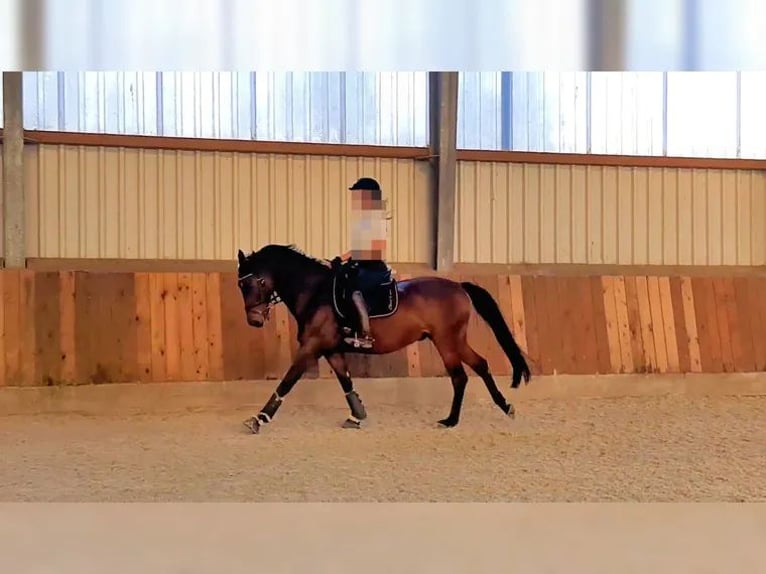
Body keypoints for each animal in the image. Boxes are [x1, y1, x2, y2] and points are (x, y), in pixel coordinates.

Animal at [236, 244, 531, 433]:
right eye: (240, 284)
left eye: (253, 282)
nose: (254, 321)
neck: (315, 292)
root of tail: (458, 286)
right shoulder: (331, 349)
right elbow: (346, 382)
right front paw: (358, 416)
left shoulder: (311, 347)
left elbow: (287, 381)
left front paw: (258, 419)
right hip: (455, 340)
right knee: (480, 364)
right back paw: (506, 407)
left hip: (446, 341)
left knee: (459, 376)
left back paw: (450, 421)